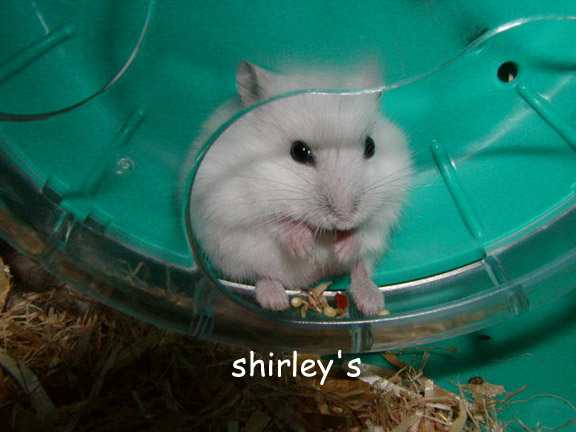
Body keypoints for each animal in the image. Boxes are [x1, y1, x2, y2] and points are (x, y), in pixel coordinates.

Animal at [188, 61, 412, 315]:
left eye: (370, 146)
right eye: (299, 151)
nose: (344, 219)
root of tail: (308, 280)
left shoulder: (389, 201)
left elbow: (367, 226)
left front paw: (342, 247)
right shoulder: (230, 200)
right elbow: (273, 222)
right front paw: (304, 249)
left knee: (361, 268)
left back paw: (371, 303)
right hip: (237, 257)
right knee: (262, 275)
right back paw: (276, 301)